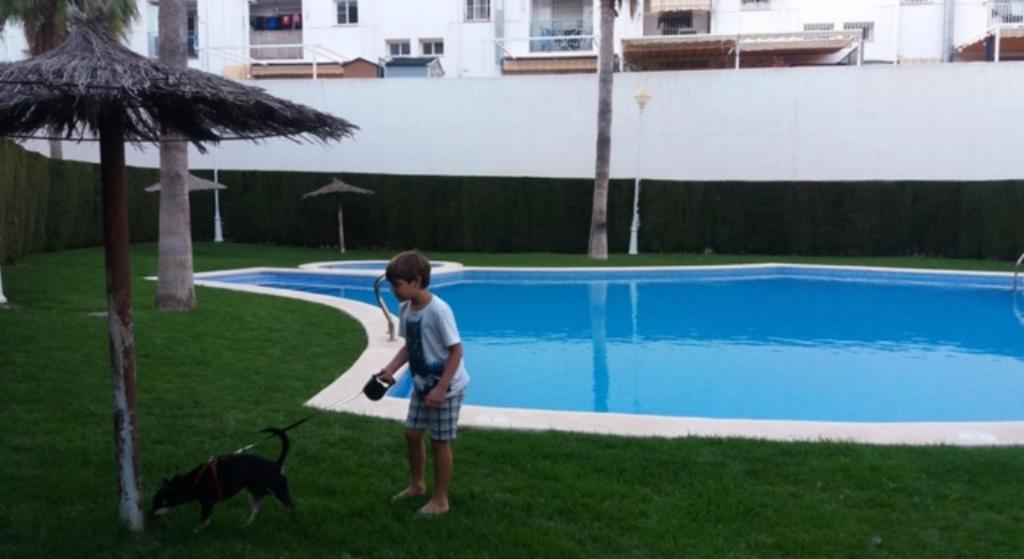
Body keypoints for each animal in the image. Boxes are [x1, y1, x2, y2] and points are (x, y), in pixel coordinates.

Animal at [151, 425, 296, 528]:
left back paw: (291, 521)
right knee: (255, 512)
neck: (193, 482)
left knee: (290, 506)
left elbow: (203, 521)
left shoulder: (207, 504)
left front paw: (194, 532)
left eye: (161, 502)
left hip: (279, 493)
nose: (149, 516)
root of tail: (277, 465)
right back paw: (244, 526)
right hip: (254, 493)